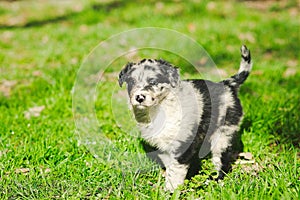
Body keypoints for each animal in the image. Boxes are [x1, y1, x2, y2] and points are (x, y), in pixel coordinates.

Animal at [118, 45, 252, 191]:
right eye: (131, 82)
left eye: (153, 82)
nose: (139, 98)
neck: (159, 108)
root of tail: (228, 85)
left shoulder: (182, 145)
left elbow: (176, 170)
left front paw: (170, 190)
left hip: (223, 134)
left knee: (223, 161)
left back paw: (217, 180)